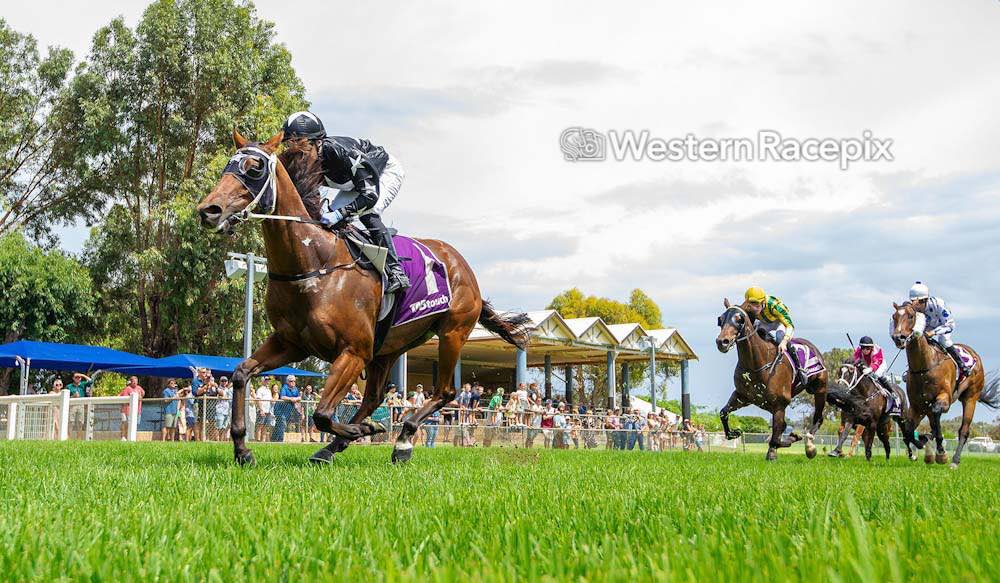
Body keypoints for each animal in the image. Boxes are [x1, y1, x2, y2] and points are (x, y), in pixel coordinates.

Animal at [198, 132, 536, 466]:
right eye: (228, 165)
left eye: (254, 168)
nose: (208, 210)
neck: (313, 263)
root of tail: (462, 264)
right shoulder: (291, 343)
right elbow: (241, 373)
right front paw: (243, 450)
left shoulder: (353, 350)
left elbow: (322, 414)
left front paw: (365, 430)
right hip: (387, 349)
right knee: (374, 396)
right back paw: (335, 446)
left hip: (452, 333)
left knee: (444, 392)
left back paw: (401, 440)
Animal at [720, 302, 828, 460]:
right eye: (720, 319)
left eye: (739, 319)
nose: (722, 342)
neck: (756, 364)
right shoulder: (743, 397)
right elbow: (723, 412)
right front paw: (734, 432)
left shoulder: (779, 403)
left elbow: (776, 436)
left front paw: (774, 451)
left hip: (820, 389)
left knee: (818, 417)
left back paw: (810, 447)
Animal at [888, 304, 996, 468]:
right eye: (894, 317)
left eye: (911, 316)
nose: (898, 337)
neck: (924, 367)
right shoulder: (917, 406)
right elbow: (908, 432)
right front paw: (923, 444)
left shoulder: (944, 399)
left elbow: (936, 415)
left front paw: (940, 451)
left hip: (970, 398)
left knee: (963, 430)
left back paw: (954, 461)